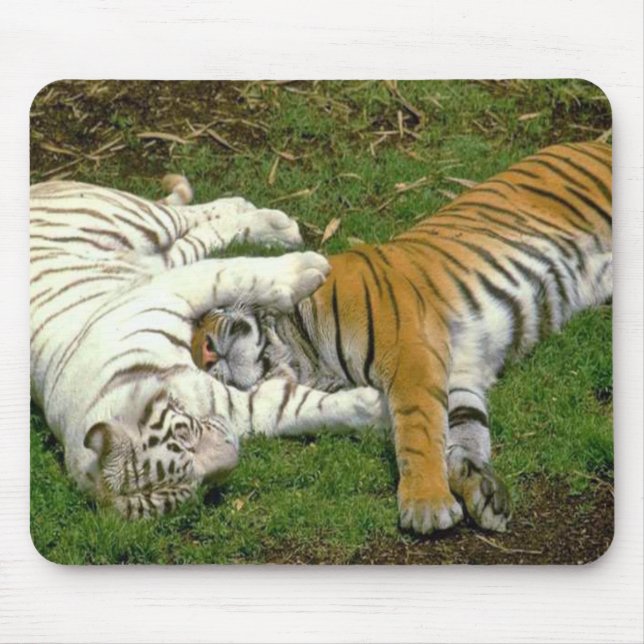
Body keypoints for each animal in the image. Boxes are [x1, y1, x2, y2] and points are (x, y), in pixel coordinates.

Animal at [30, 176, 387, 519]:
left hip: (140, 220)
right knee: (197, 238)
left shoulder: (169, 290)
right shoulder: (234, 405)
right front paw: (374, 410)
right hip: (160, 257)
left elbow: (235, 274)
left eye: (184, 436)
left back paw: (274, 224)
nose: (231, 457)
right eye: (197, 485)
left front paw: (306, 269)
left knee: (189, 217)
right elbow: (288, 407)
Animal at [192, 142, 613, 535]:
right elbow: (462, 431)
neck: (305, 357)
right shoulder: (459, 373)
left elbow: (418, 431)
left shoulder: (411, 354)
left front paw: (427, 505)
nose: (207, 355)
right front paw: (480, 488)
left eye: (204, 316)